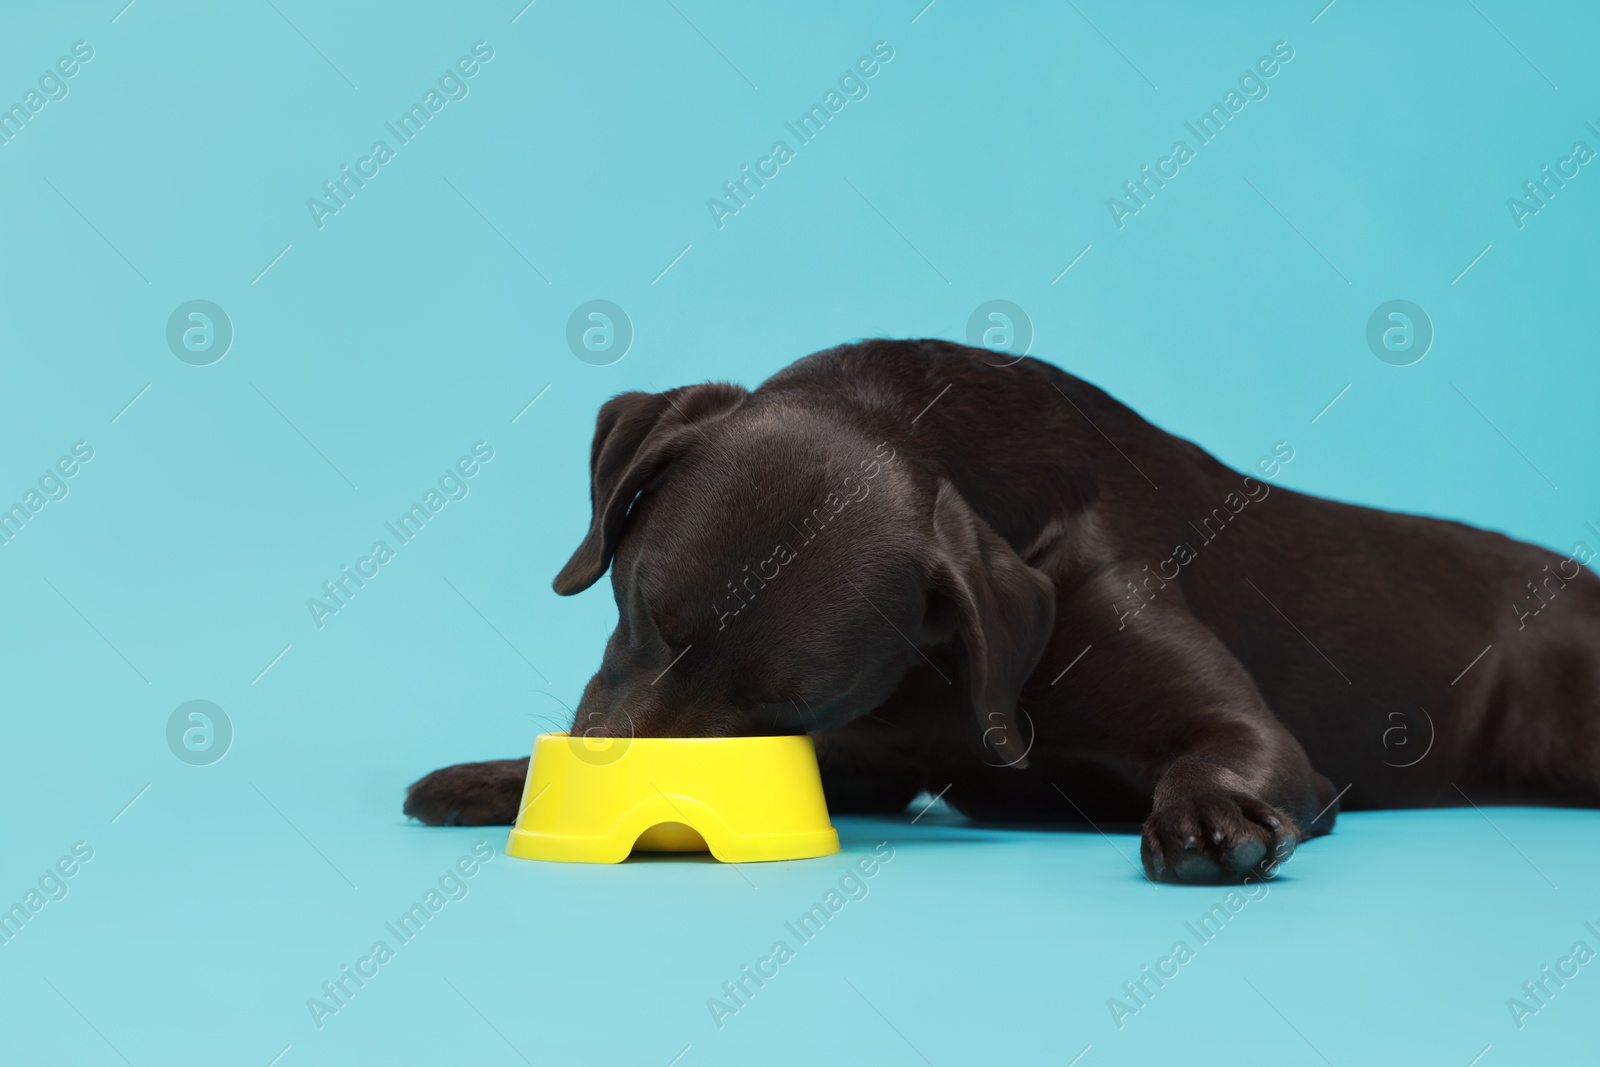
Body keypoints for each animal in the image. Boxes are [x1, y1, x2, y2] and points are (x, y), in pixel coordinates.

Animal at [403, 340, 1600, 883]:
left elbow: (1221, 754)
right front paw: (494, 777)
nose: (651, 821)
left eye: (789, 699)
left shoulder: (1258, 736)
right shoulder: (863, 757)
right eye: (644, 610)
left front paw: (1209, 814)